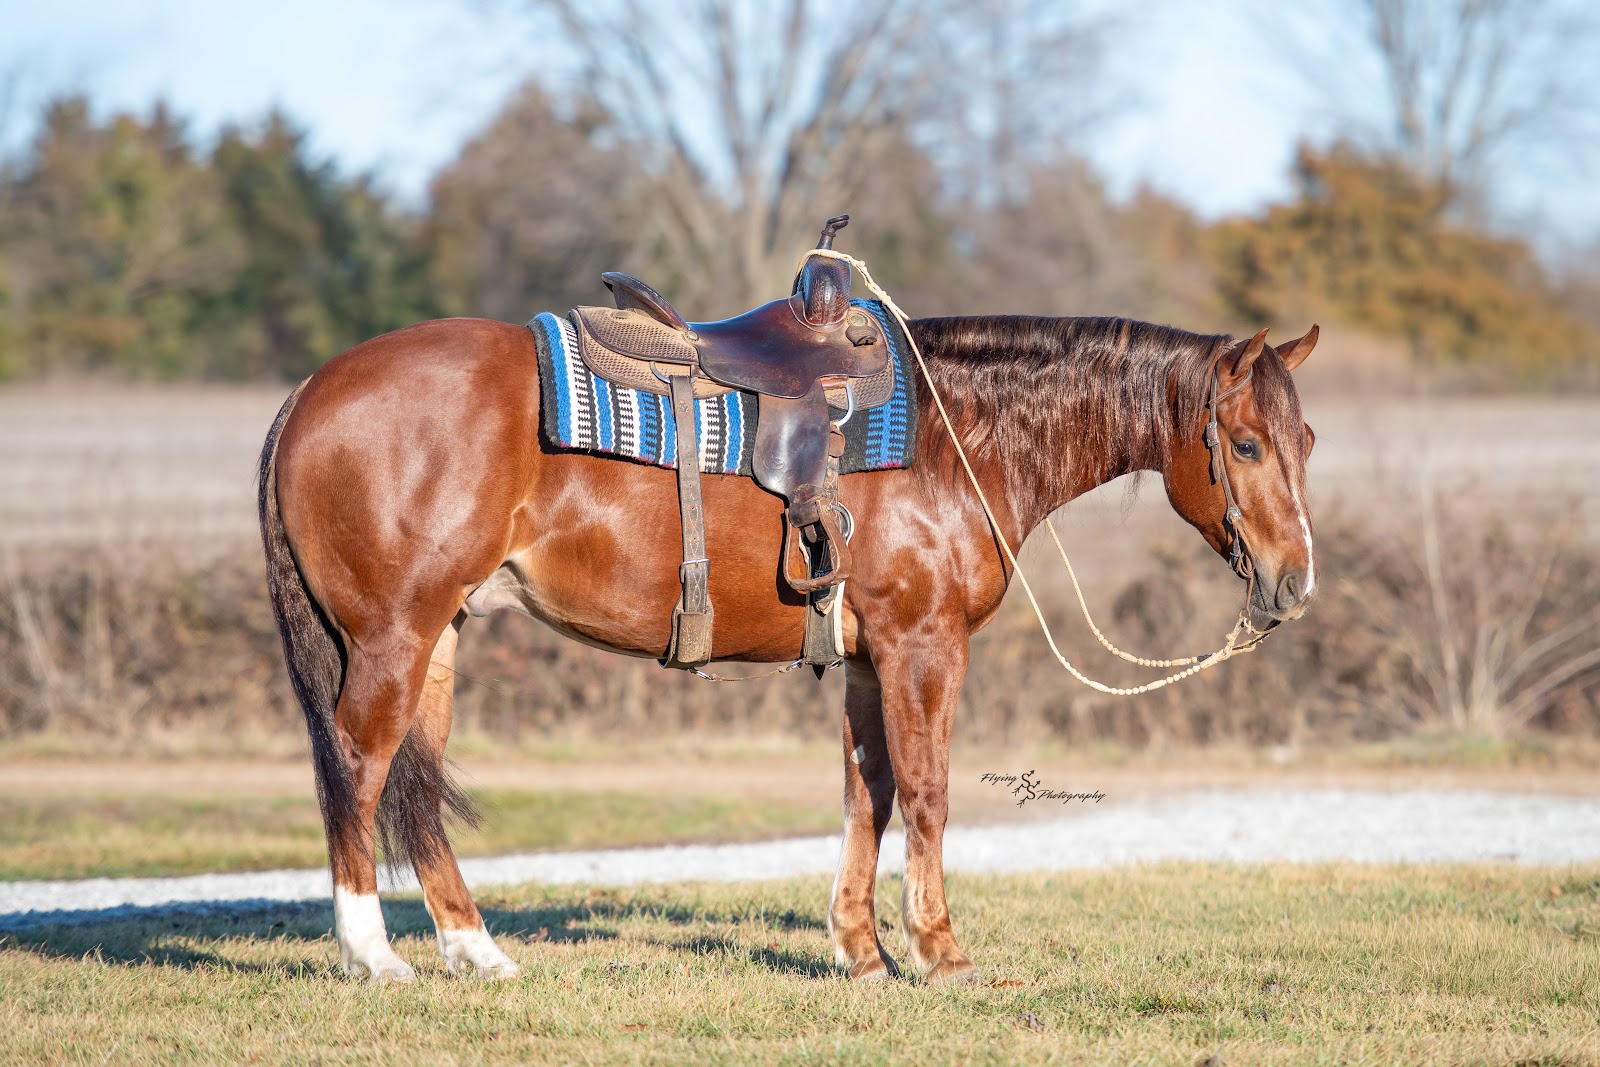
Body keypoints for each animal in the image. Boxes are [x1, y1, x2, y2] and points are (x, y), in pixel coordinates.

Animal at [257, 311, 1318, 984]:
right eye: (1246, 444)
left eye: (1305, 438)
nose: (1294, 583)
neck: (955, 439)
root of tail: (309, 390)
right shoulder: (921, 645)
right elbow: (926, 791)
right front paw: (938, 950)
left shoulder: (867, 658)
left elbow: (867, 793)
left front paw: (861, 949)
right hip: (393, 636)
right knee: (358, 764)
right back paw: (371, 953)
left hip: (439, 636)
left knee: (416, 780)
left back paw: (475, 950)